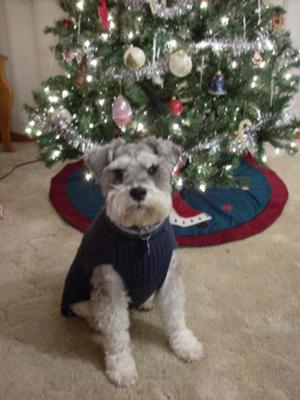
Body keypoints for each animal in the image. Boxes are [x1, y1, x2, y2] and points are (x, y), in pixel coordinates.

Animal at [61, 138, 204, 388]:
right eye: (118, 173)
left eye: (153, 169)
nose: (138, 191)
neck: (141, 236)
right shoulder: (110, 289)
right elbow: (117, 334)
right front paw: (121, 367)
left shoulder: (170, 280)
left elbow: (176, 317)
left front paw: (185, 345)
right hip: (80, 301)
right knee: (90, 312)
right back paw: (97, 321)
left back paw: (145, 301)